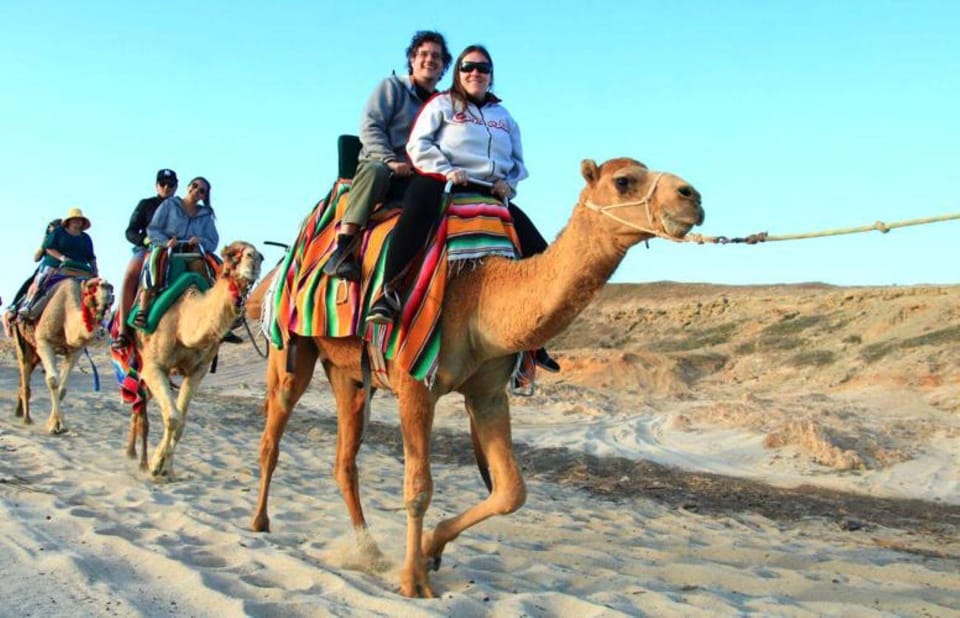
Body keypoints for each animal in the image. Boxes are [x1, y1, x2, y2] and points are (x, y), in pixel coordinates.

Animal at [12, 276, 115, 434]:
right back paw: (26, 418)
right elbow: (53, 380)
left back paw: (19, 411)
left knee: (26, 372)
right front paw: (55, 425)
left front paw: (56, 422)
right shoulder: (44, 341)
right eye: (91, 287)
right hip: (21, 338)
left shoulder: (76, 350)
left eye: (110, 287)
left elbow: (62, 388)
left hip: (35, 352)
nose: (108, 287)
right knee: (24, 367)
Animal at [129, 241, 262, 476]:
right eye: (230, 255)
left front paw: (166, 467)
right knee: (139, 402)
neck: (182, 323)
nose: (254, 259)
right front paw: (155, 466)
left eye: (260, 255)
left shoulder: (198, 370)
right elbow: (172, 417)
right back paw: (134, 455)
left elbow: (180, 421)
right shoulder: (153, 366)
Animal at [251, 159, 700, 596]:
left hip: (350, 375)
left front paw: (431, 548)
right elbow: (418, 488)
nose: (691, 197)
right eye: (623, 181)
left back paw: (369, 550)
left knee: (345, 461)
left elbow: (511, 490)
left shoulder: (487, 393)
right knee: (273, 433)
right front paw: (414, 580)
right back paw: (261, 521)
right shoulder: (414, 384)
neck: (480, 290)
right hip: (289, 348)